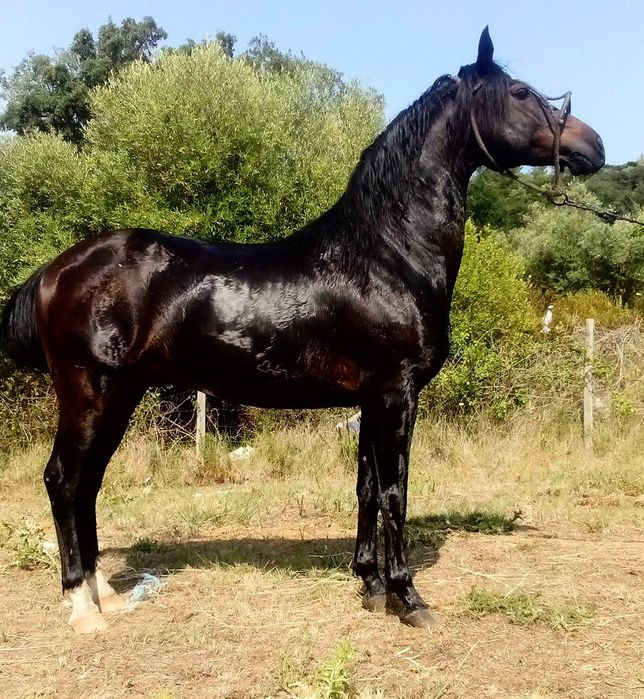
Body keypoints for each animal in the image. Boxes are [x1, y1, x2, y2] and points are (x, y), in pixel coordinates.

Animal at [0, 28, 605, 633]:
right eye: (521, 92)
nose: (593, 146)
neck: (387, 254)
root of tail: (57, 270)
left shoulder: (372, 398)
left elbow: (365, 488)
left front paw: (370, 585)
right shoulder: (396, 393)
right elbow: (394, 492)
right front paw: (408, 598)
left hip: (120, 395)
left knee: (88, 484)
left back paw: (102, 592)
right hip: (91, 392)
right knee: (64, 480)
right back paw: (82, 607)